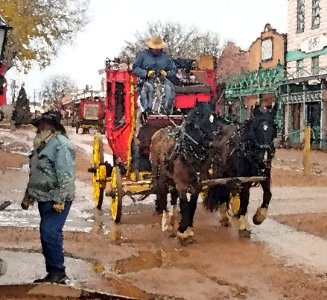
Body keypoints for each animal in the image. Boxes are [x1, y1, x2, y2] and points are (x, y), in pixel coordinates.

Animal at [205, 107, 276, 237]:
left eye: (273, 129)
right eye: (256, 129)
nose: (264, 158)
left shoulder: (265, 175)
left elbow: (268, 195)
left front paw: (259, 217)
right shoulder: (244, 179)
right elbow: (245, 197)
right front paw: (244, 224)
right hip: (222, 173)